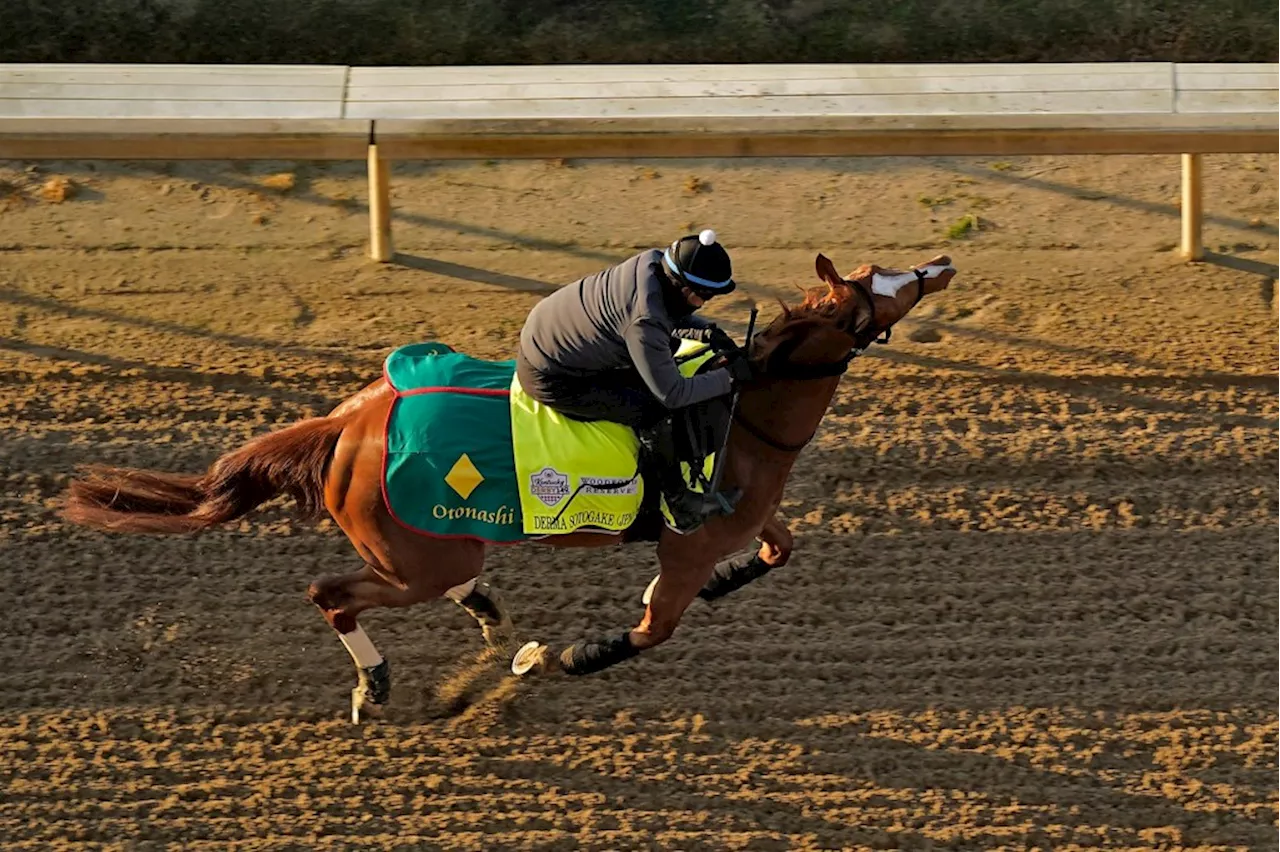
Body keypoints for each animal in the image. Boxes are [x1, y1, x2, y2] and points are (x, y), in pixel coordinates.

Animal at [62, 250, 962, 716]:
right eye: (882, 288)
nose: (943, 261)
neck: (742, 415)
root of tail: (346, 425)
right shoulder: (684, 546)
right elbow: (650, 629)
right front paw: (565, 657)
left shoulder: (739, 520)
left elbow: (779, 549)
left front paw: (727, 584)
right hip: (414, 559)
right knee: (332, 593)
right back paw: (377, 684)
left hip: (434, 548)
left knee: (448, 579)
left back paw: (489, 617)